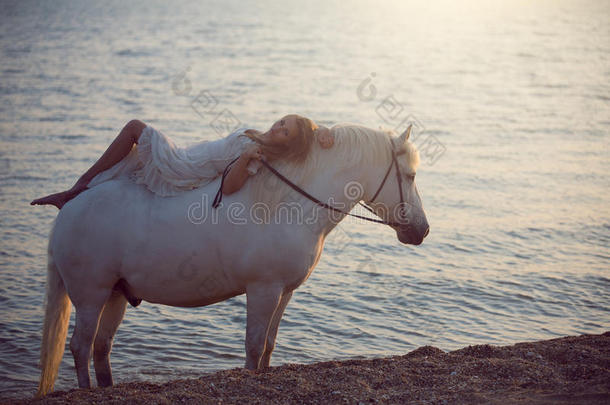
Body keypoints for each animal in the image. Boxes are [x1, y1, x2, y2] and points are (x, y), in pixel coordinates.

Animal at [36, 123, 428, 394]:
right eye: (409, 175)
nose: (422, 230)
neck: (290, 205)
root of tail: (71, 207)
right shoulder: (263, 289)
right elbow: (253, 348)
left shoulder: (283, 292)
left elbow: (268, 346)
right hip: (91, 295)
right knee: (80, 347)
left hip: (116, 294)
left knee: (100, 349)